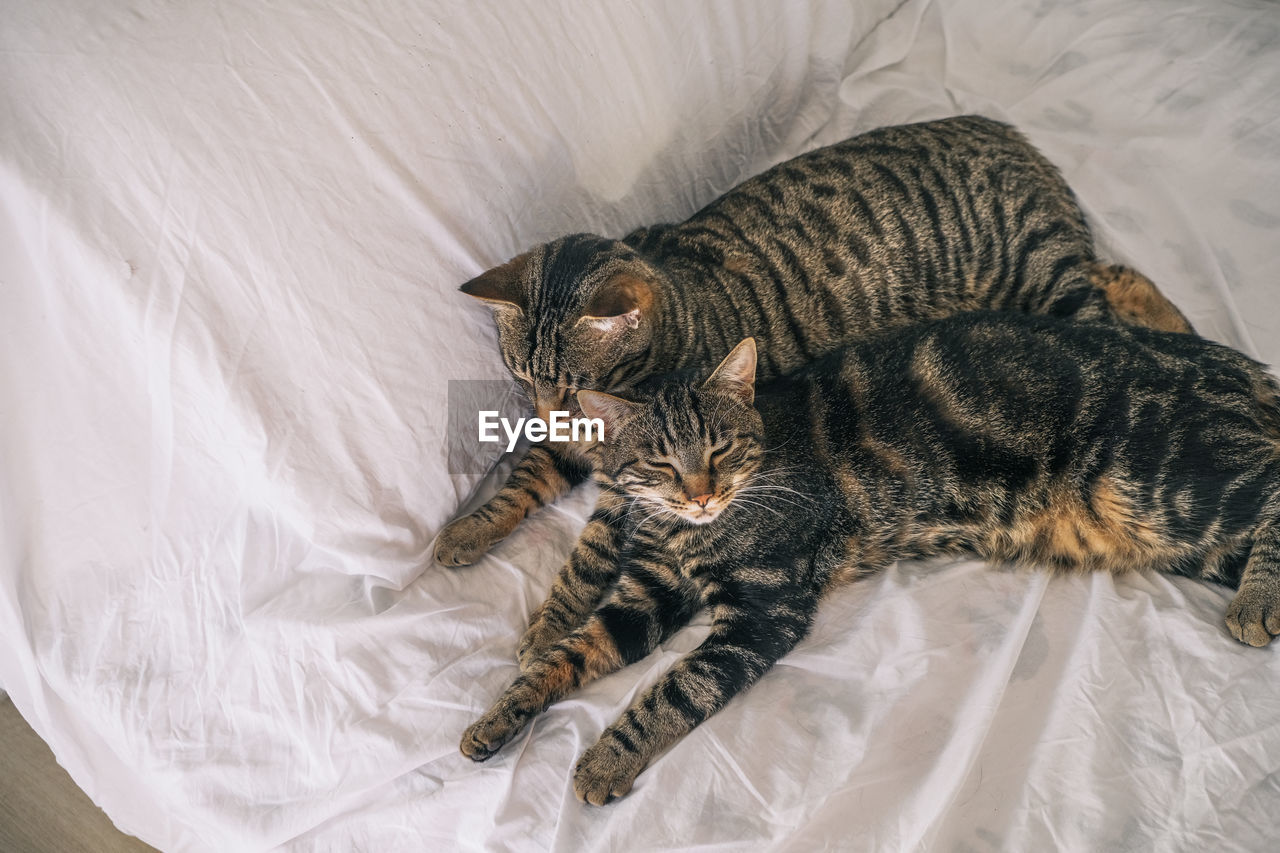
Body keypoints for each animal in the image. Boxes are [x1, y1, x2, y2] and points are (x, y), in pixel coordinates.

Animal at [437, 112, 1187, 568]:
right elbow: (523, 481)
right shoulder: (571, 448)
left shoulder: (632, 479)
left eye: (568, 382)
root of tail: (1008, 134)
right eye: (521, 377)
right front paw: (470, 529)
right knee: (1113, 270)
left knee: (1103, 315)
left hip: (1041, 279)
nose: (544, 411)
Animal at [460, 313, 1280, 804]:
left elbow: (671, 691)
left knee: (1275, 483)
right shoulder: (643, 593)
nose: (702, 494)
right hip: (1188, 529)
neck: (689, 536)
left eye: (721, 451)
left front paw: (604, 761)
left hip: (1166, 480)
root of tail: (1231, 364)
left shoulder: (762, 611)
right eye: (661, 464)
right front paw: (498, 718)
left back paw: (1258, 602)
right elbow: (566, 656)